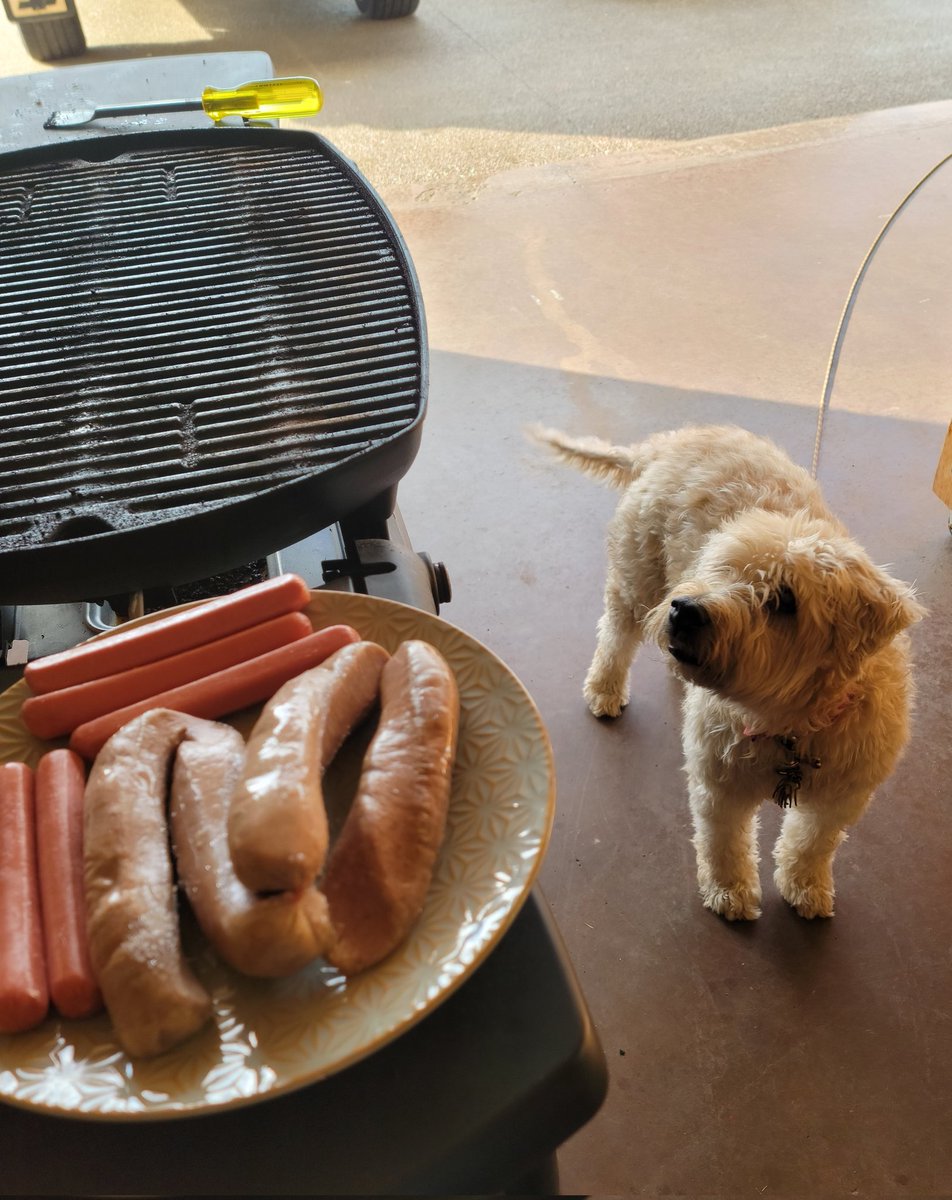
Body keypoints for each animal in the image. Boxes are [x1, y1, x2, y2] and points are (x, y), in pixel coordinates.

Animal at [530, 427, 926, 921]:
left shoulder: (841, 798)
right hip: (636, 584)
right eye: (722, 566)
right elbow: (724, 843)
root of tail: (665, 445)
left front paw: (807, 886)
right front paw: (729, 890)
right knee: (615, 636)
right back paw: (604, 688)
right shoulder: (720, 786)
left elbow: (812, 843)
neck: (789, 727)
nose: (684, 610)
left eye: (784, 600)